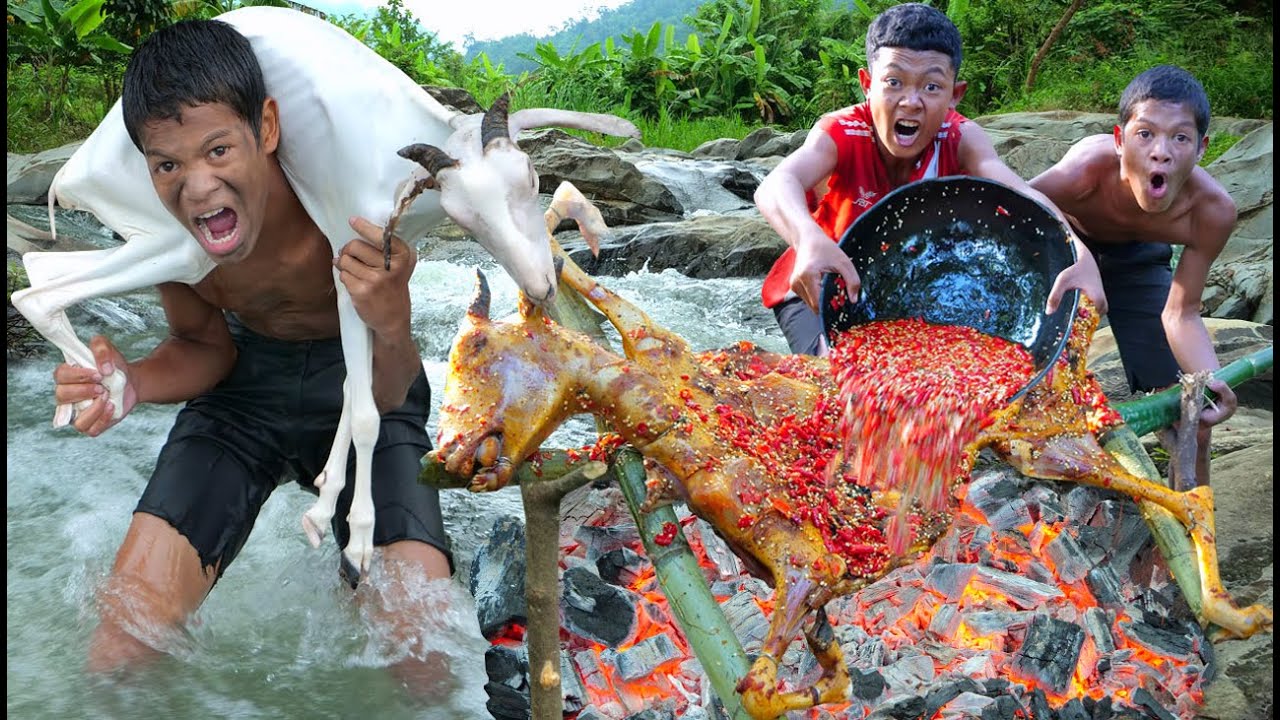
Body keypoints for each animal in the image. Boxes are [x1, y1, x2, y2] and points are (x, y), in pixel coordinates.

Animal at [10, 4, 640, 576]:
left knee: (39, 264)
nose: (538, 285)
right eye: (465, 215)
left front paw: (323, 507)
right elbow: (363, 412)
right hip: (180, 240)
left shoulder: (380, 269)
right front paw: (359, 538)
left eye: (529, 178)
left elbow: (351, 391)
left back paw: (76, 399)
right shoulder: (346, 271)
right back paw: (108, 390)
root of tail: (71, 171)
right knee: (34, 293)